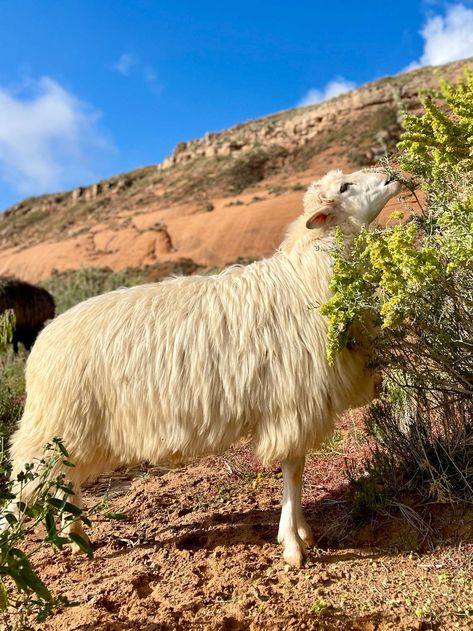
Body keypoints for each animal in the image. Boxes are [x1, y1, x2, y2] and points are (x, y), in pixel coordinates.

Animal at [6, 168, 398, 568]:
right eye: (344, 187)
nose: (389, 175)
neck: (304, 280)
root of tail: (44, 338)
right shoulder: (291, 401)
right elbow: (293, 470)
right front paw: (292, 544)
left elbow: (298, 470)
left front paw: (303, 531)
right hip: (52, 423)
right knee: (25, 485)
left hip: (72, 430)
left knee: (66, 481)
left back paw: (77, 539)